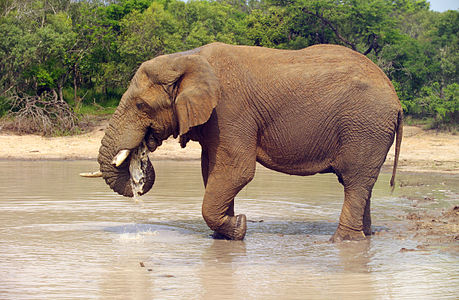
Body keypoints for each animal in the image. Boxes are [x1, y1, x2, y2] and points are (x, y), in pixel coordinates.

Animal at [96, 42, 402, 243]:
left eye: (141, 105)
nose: (144, 149)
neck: (187, 58)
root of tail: (395, 97)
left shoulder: (230, 110)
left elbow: (236, 171)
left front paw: (239, 227)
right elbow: (212, 171)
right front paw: (226, 234)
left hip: (365, 126)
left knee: (354, 181)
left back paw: (343, 242)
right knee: (362, 185)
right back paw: (365, 237)